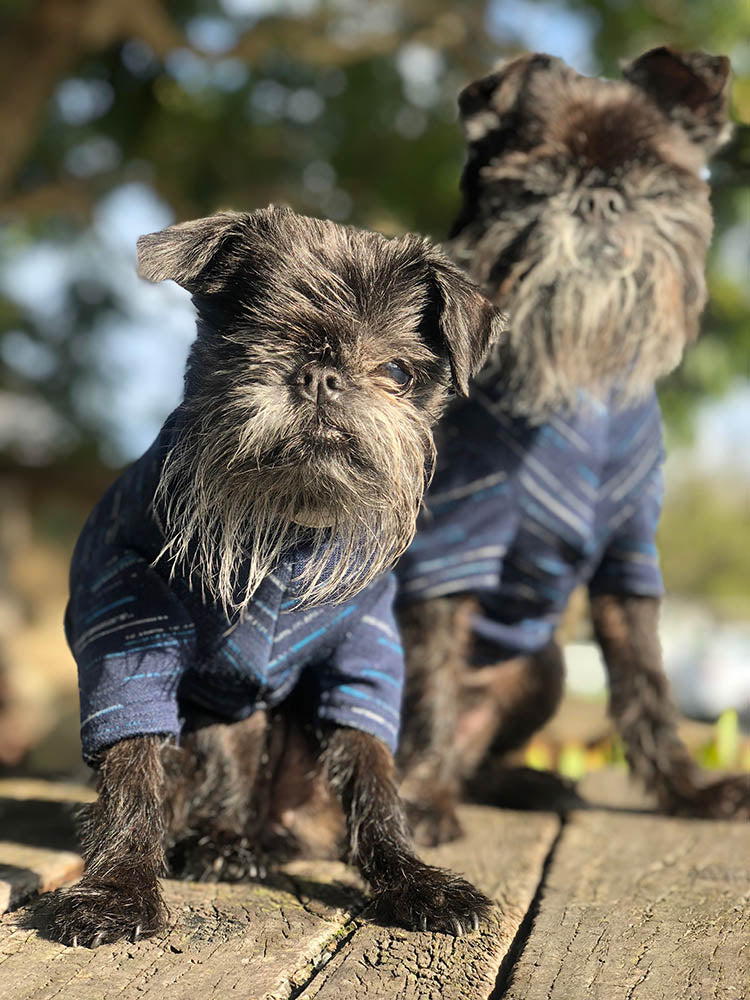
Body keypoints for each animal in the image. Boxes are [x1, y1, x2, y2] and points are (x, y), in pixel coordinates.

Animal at [45, 205, 506, 944]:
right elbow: (134, 763)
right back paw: (220, 841)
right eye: (251, 344)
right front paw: (118, 888)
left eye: (398, 372)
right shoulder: (128, 628)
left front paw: (414, 881)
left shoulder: (364, 657)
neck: (289, 533)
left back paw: (246, 843)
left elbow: (374, 774)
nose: (318, 374)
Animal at [394, 48, 750, 844]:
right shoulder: (455, 543)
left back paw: (529, 782)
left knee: (481, 754)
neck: (584, 388)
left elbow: (646, 680)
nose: (598, 200)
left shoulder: (628, 556)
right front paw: (421, 800)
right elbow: (429, 678)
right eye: (541, 178)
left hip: (545, 666)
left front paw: (686, 791)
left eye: (650, 176)